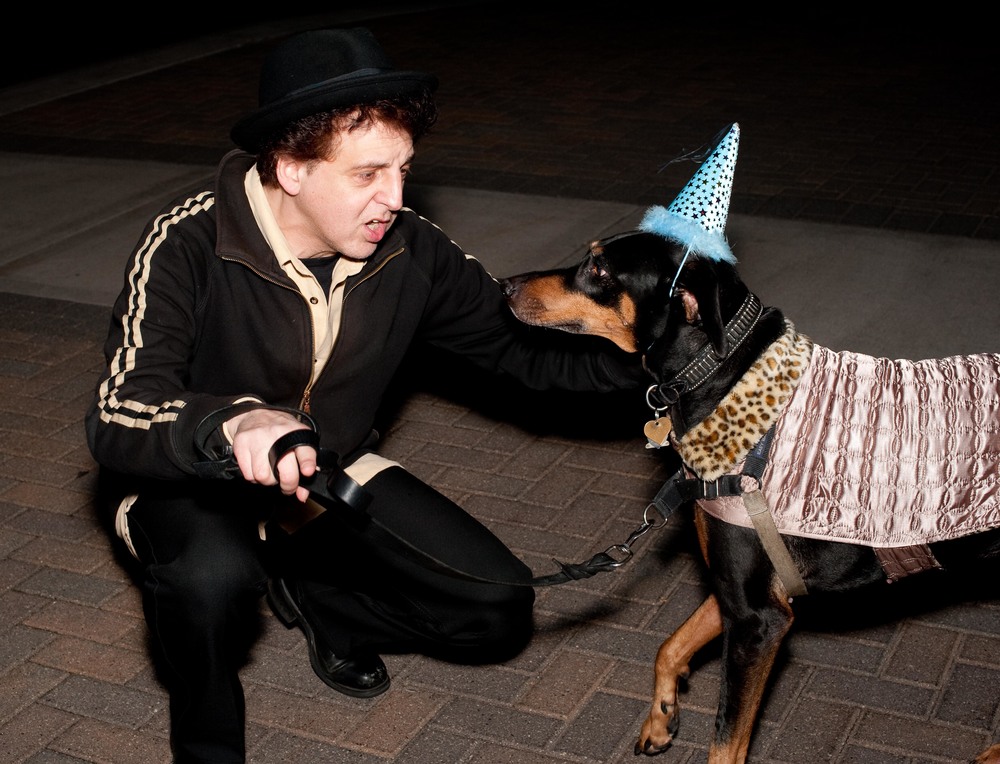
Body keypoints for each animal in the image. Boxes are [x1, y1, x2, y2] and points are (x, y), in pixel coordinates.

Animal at [500, 233, 1000, 764]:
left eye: (599, 269)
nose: (505, 286)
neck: (723, 377)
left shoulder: (760, 621)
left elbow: (725, 743)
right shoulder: (740, 592)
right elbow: (669, 648)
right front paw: (662, 716)